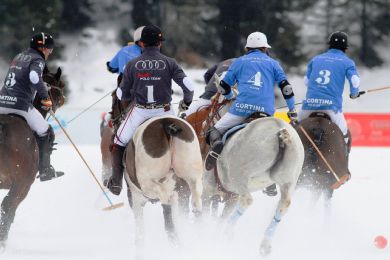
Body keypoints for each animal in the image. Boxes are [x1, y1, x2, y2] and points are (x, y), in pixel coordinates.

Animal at [106, 92, 204, 247]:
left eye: (114, 98)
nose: (113, 121)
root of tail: (167, 124)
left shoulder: (135, 198)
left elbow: (140, 236)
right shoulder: (180, 193)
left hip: (149, 184)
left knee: (166, 206)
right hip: (192, 179)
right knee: (196, 205)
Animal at [204, 115, 304, 255]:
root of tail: (281, 131)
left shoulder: (208, 191)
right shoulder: (230, 197)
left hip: (240, 175)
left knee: (246, 199)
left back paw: (227, 232)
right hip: (289, 179)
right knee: (284, 204)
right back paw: (265, 244)